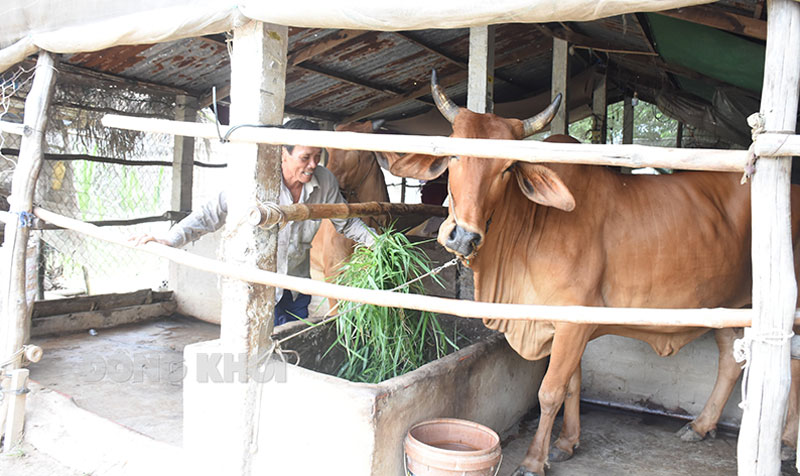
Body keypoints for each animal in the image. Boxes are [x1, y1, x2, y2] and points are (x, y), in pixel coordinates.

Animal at [388, 71, 800, 476]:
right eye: (453, 153)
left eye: (507, 168)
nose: (463, 236)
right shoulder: (565, 325)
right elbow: (573, 384)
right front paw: (566, 443)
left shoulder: (572, 322)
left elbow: (550, 391)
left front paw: (534, 460)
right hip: (731, 306)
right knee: (731, 361)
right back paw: (700, 425)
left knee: (789, 369)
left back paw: (782, 444)